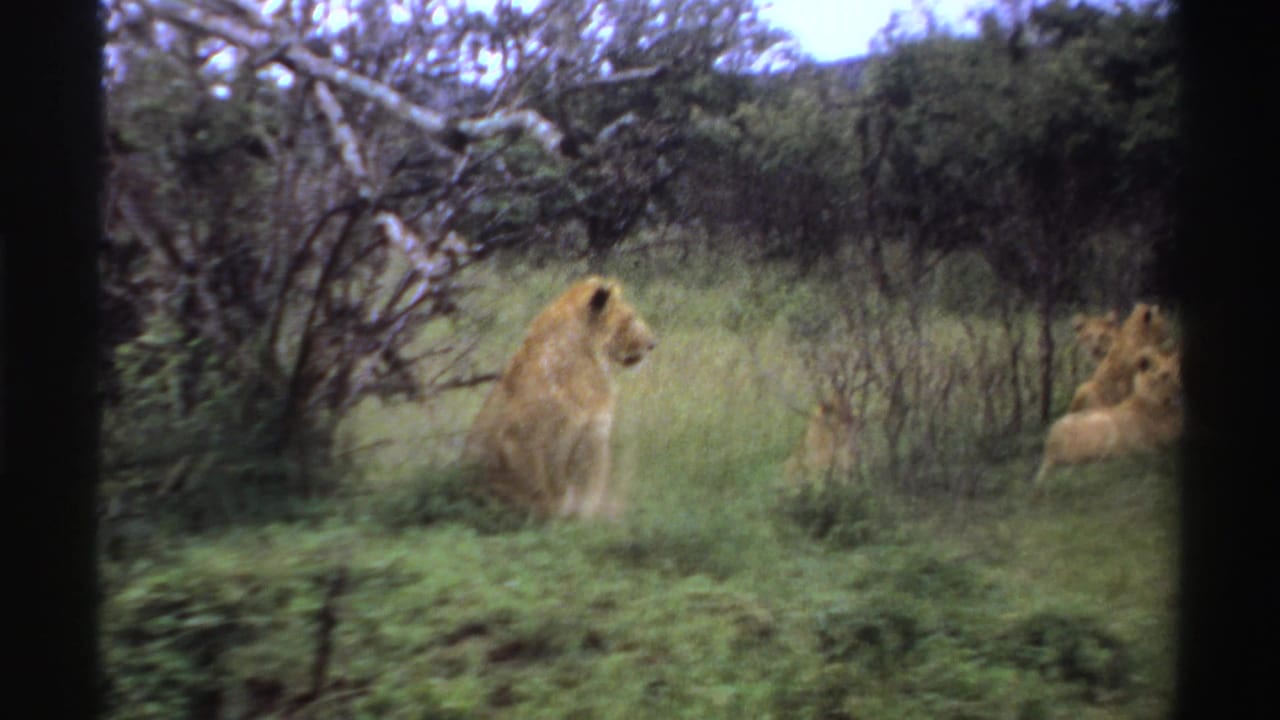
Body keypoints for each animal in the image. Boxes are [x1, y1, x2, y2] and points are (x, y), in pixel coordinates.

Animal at [463, 276, 656, 519]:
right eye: (630, 318)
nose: (653, 343)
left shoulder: (593, 433)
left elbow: (589, 488)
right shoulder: (524, 434)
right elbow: (545, 489)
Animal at [1034, 347, 1182, 486]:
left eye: (1179, 372)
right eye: (1164, 375)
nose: (1180, 392)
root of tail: (1049, 443)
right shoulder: (1150, 445)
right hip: (1101, 424)